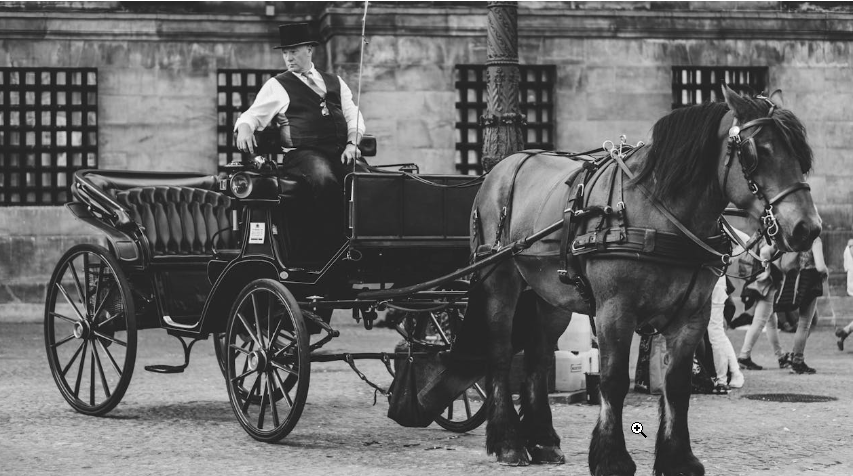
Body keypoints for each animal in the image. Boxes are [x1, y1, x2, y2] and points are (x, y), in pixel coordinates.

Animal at [466, 86, 820, 476]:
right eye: (758, 152)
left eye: (801, 155)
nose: (808, 228)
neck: (659, 213)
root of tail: (499, 169)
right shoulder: (614, 311)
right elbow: (613, 381)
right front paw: (612, 458)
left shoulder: (691, 316)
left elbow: (677, 385)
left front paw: (679, 458)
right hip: (500, 283)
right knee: (500, 353)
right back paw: (508, 443)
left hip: (550, 297)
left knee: (538, 358)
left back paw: (543, 441)